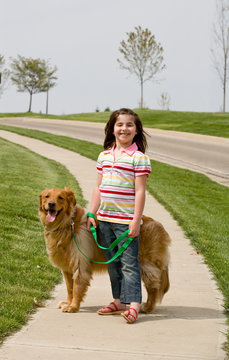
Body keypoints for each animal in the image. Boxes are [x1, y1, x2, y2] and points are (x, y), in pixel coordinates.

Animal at [39, 187, 170, 314]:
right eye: (47, 196)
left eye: (60, 197)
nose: (51, 204)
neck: (66, 224)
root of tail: (159, 225)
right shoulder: (66, 268)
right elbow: (69, 288)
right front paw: (68, 303)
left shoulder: (80, 264)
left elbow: (76, 288)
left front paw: (73, 307)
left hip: (146, 265)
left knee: (153, 287)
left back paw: (147, 307)